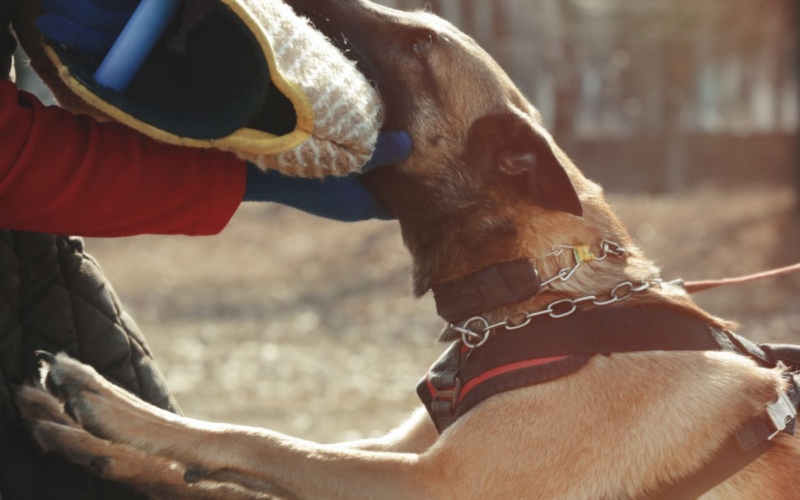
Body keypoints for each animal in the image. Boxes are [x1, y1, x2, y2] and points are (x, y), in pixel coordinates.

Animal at [15, 0, 800, 500]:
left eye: (422, 46)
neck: (537, 292)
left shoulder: (431, 480)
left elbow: (260, 440)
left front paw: (110, 407)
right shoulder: (401, 449)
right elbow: (231, 465)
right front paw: (99, 446)